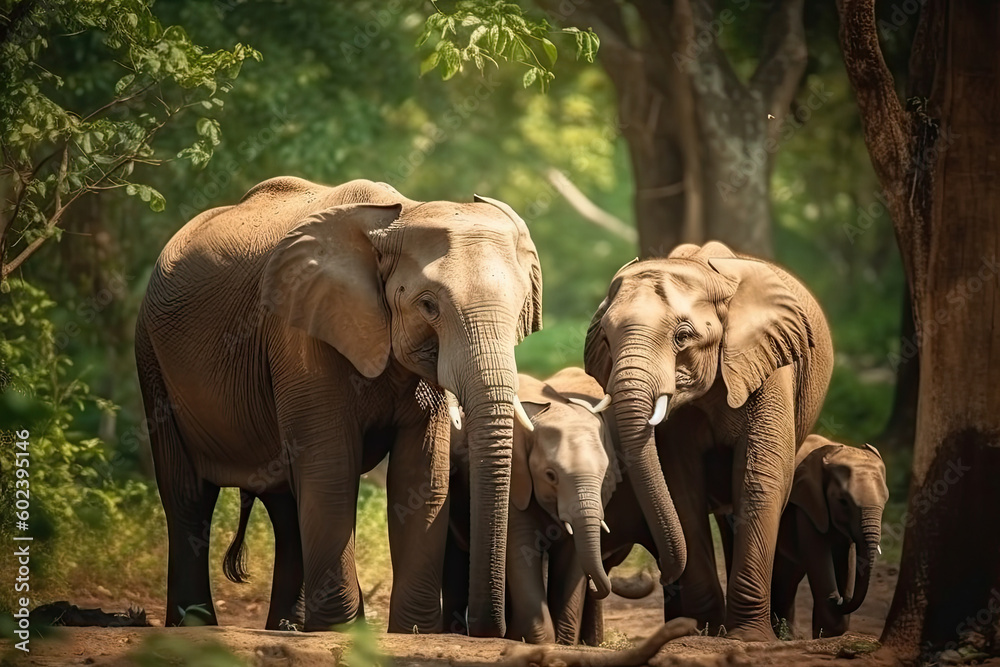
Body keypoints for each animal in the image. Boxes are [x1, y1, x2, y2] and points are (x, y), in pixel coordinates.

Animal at [134, 176, 542, 635]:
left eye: (521, 308)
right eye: (428, 306)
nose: (484, 629)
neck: (394, 219)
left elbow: (421, 477)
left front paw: (411, 632)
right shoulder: (300, 334)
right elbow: (331, 470)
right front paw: (345, 631)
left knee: (285, 503)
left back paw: (287, 628)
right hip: (151, 358)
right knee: (188, 496)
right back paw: (195, 626)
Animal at [443, 368, 620, 644]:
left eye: (604, 475)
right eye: (550, 475)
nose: (595, 586)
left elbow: (572, 557)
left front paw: (563, 642)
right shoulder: (515, 484)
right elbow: (521, 550)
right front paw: (541, 642)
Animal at [583, 240, 834, 641]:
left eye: (682, 337)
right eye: (605, 337)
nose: (657, 574)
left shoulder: (770, 366)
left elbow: (759, 480)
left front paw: (747, 638)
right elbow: (682, 489)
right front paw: (704, 630)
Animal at [768, 435, 888, 638]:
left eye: (886, 500)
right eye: (843, 501)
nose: (839, 599)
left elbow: (846, 557)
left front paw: (832, 631)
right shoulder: (807, 505)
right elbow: (819, 557)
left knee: (788, 577)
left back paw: (787, 636)